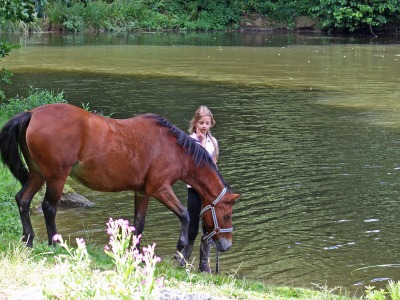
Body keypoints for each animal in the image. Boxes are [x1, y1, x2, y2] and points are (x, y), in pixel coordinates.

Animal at [0, 103, 241, 251]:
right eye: (227, 215)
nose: (226, 245)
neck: (174, 148)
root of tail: (33, 113)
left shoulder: (142, 192)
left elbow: (139, 224)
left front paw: (137, 254)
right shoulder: (160, 189)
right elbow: (184, 215)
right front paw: (181, 245)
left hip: (38, 174)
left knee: (23, 199)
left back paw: (28, 239)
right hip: (56, 178)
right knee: (49, 208)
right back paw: (54, 243)